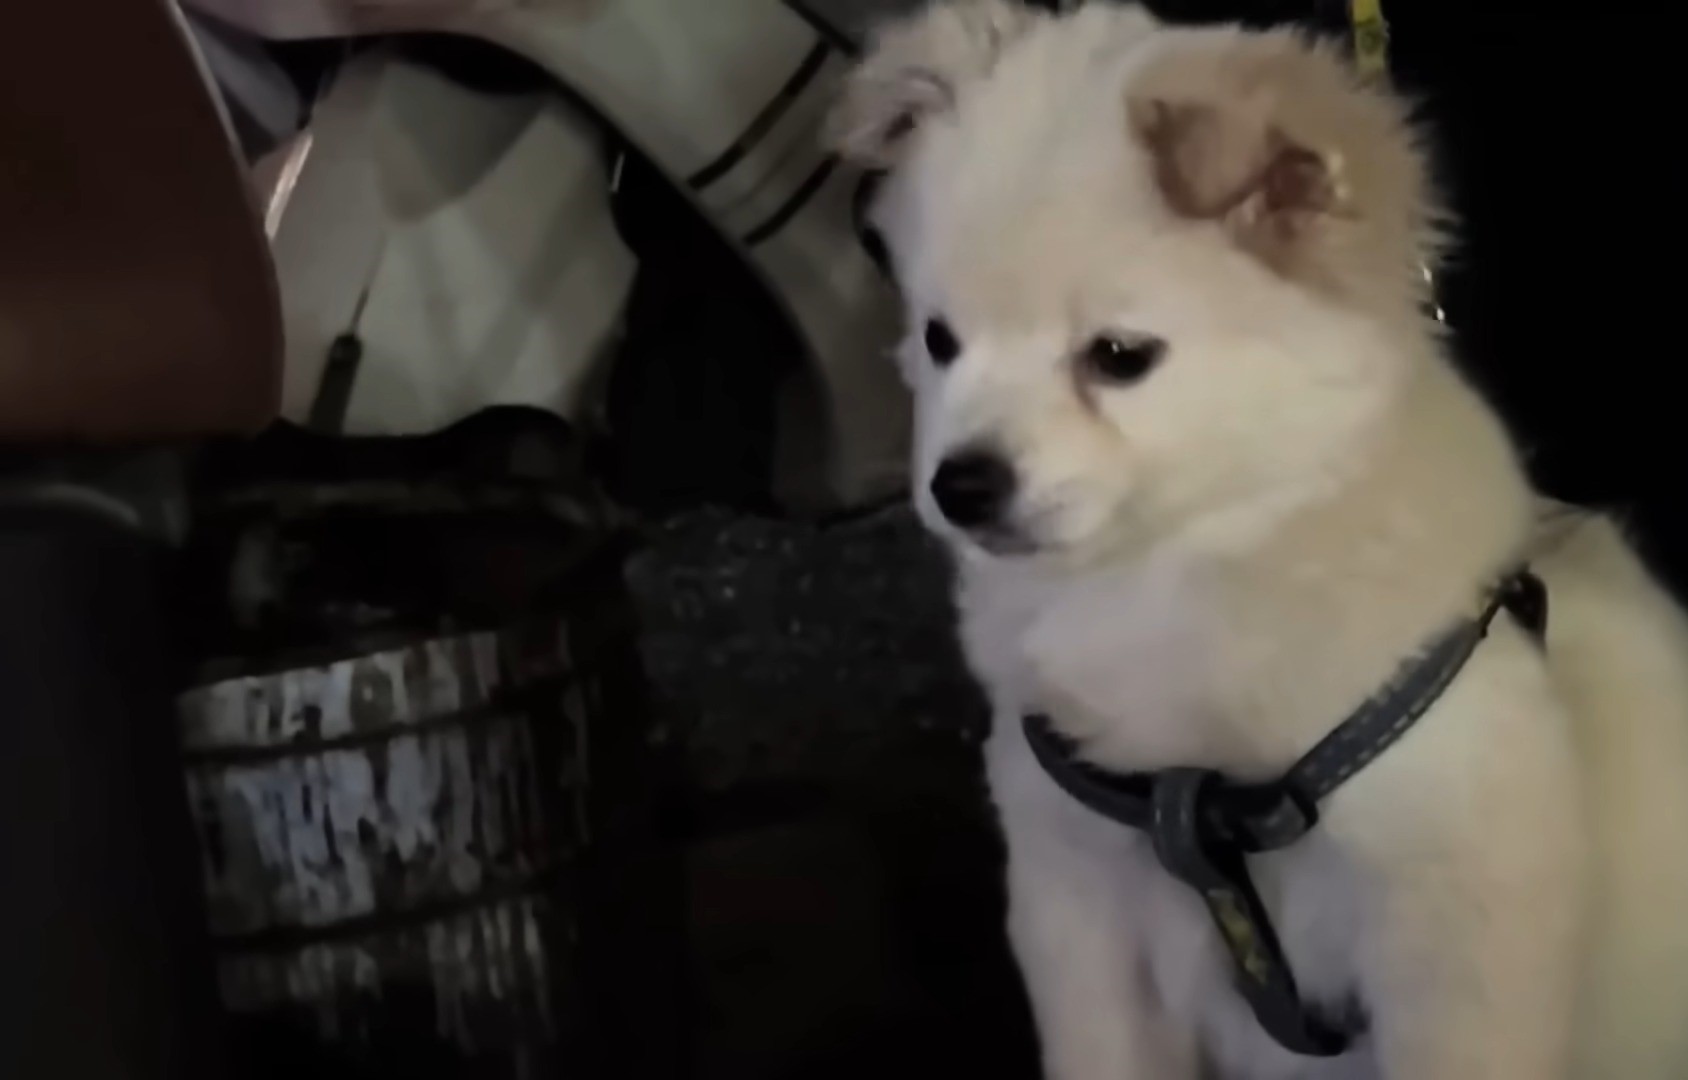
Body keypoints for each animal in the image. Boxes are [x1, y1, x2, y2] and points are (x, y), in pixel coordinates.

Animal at [830, 4, 1688, 1073]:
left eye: (1120, 356)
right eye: (940, 339)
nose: (963, 486)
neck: (1168, 580)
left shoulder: (1457, 930)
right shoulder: (1075, 896)